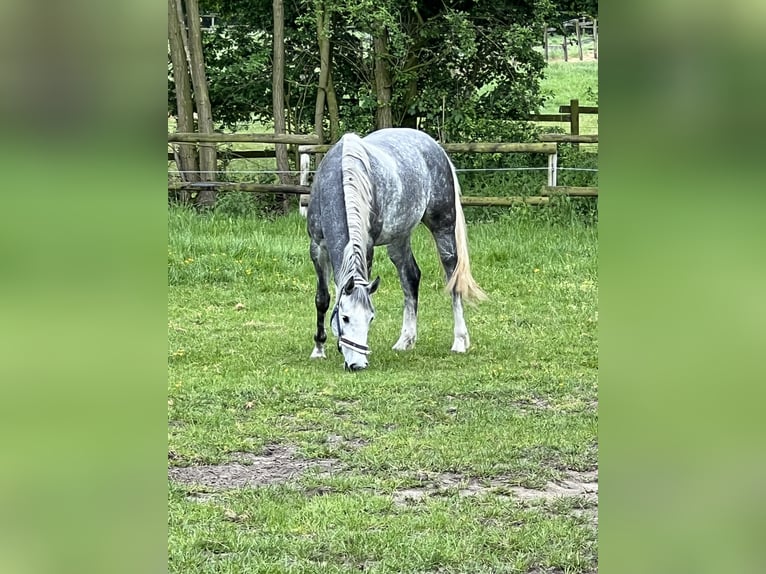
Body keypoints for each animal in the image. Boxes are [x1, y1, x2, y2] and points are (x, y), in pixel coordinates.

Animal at [308, 127, 484, 372]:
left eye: (371, 318)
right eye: (345, 318)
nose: (358, 365)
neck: (342, 178)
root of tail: (435, 147)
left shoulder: (367, 248)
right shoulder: (317, 247)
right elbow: (322, 298)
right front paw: (318, 349)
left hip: (443, 227)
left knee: (453, 276)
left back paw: (459, 341)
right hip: (399, 238)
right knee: (410, 277)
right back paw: (405, 340)